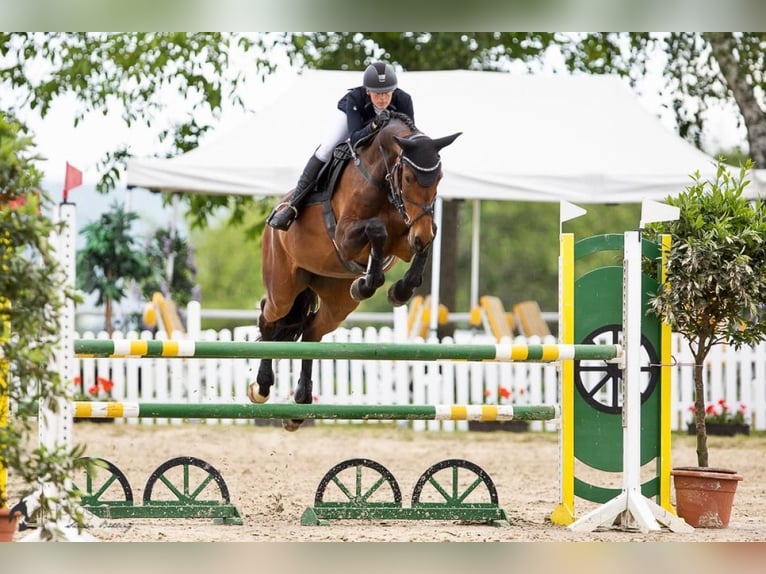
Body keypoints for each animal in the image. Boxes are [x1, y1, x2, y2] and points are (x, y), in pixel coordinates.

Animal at [252, 112, 462, 430]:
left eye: (439, 179)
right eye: (409, 178)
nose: (420, 235)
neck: (384, 181)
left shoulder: (409, 234)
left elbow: (424, 241)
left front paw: (399, 290)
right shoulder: (345, 237)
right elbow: (377, 230)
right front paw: (368, 283)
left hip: (337, 301)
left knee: (311, 331)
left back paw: (300, 404)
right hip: (283, 288)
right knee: (269, 317)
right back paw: (262, 387)